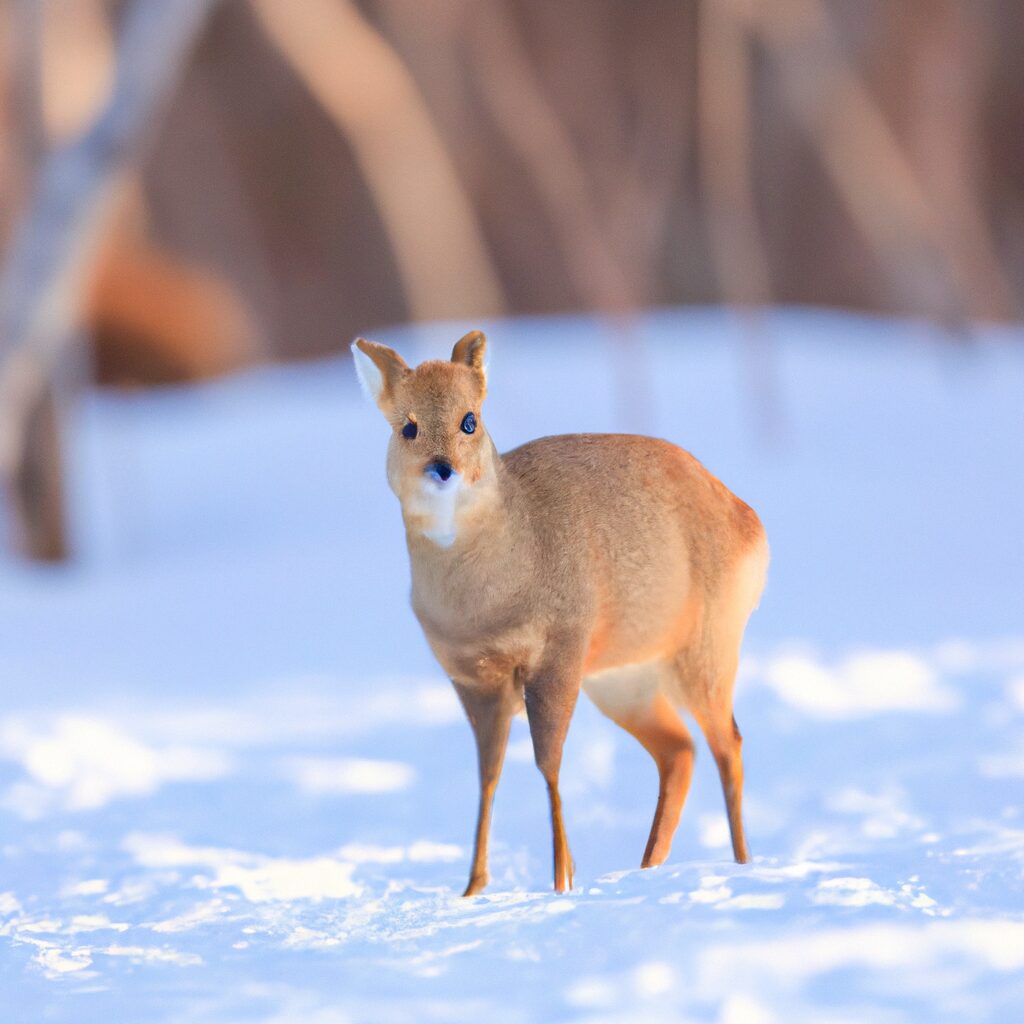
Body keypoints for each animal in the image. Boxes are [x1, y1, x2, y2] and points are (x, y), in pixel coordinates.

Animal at [352, 329, 770, 897]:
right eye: (407, 427)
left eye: (470, 419)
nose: (443, 469)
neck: (488, 600)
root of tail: (750, 522)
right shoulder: (473, 678)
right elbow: (489, 773)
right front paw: (474, 887)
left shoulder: (558, 653)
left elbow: (548, 763)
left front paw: (560, 881)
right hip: (624, 678)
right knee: (679, 750)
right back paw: (648, 865)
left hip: (705, 645)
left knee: (728, 743)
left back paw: (741, 863)